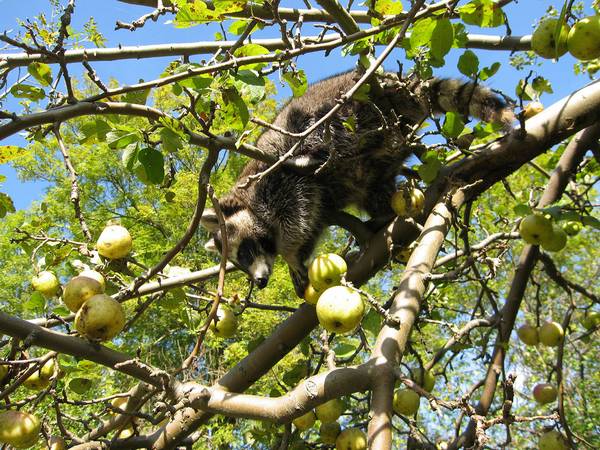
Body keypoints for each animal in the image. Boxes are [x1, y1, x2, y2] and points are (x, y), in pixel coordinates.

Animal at [199, 70, 512, 298]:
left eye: (246, 251)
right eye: (239, 263)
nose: (260, 281)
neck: (246, 202)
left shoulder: (278, 181)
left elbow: (297, 215)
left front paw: (290, 256)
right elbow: (311, 225)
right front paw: (297, 261)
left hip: (348, 108)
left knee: (319, 128)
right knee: (373, 188)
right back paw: (383, 213)